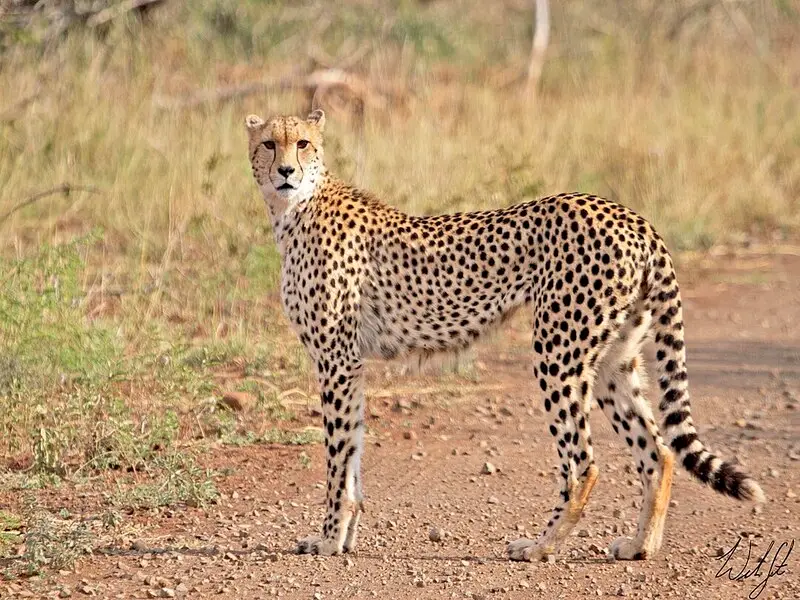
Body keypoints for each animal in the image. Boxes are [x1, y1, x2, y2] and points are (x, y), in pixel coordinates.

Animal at [247, 111, 764, 564]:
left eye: (303, 143)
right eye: (269, 143)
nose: (286, 171)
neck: (294, 209)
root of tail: (630, 215)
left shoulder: (335, 361)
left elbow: (337, 460)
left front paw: (329, 539)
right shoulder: (349, 364)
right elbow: (352, 453)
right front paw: (344, 538)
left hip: (559, 351)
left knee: (583, 463)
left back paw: (540, 547)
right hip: (614, 359)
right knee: (657, 452)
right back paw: (640, 546)